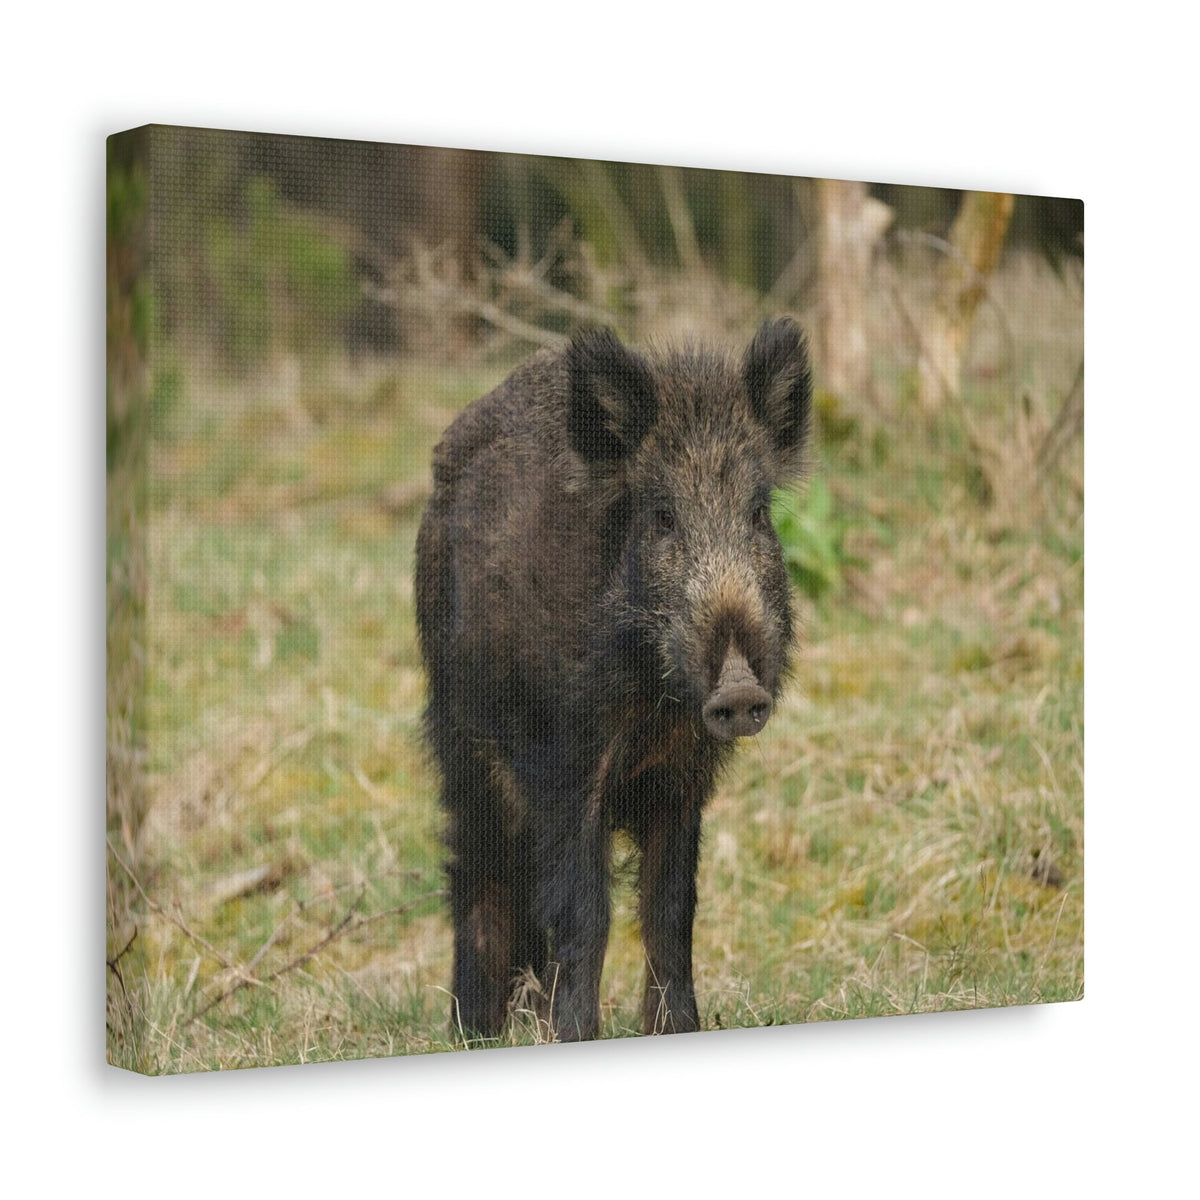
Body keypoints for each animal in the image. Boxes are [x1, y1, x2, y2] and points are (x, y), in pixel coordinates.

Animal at [414, 318, 811, 1042]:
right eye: (661, 516)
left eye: (759, 514)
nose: (740, 689)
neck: (652, 700)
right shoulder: (564, 764)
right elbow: (585, 911)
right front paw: (575, 1035)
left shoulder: (685, 776)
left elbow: (672, 908)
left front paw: (678, 1031)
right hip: (459, 732)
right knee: (477, 865)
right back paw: (474, 1030)